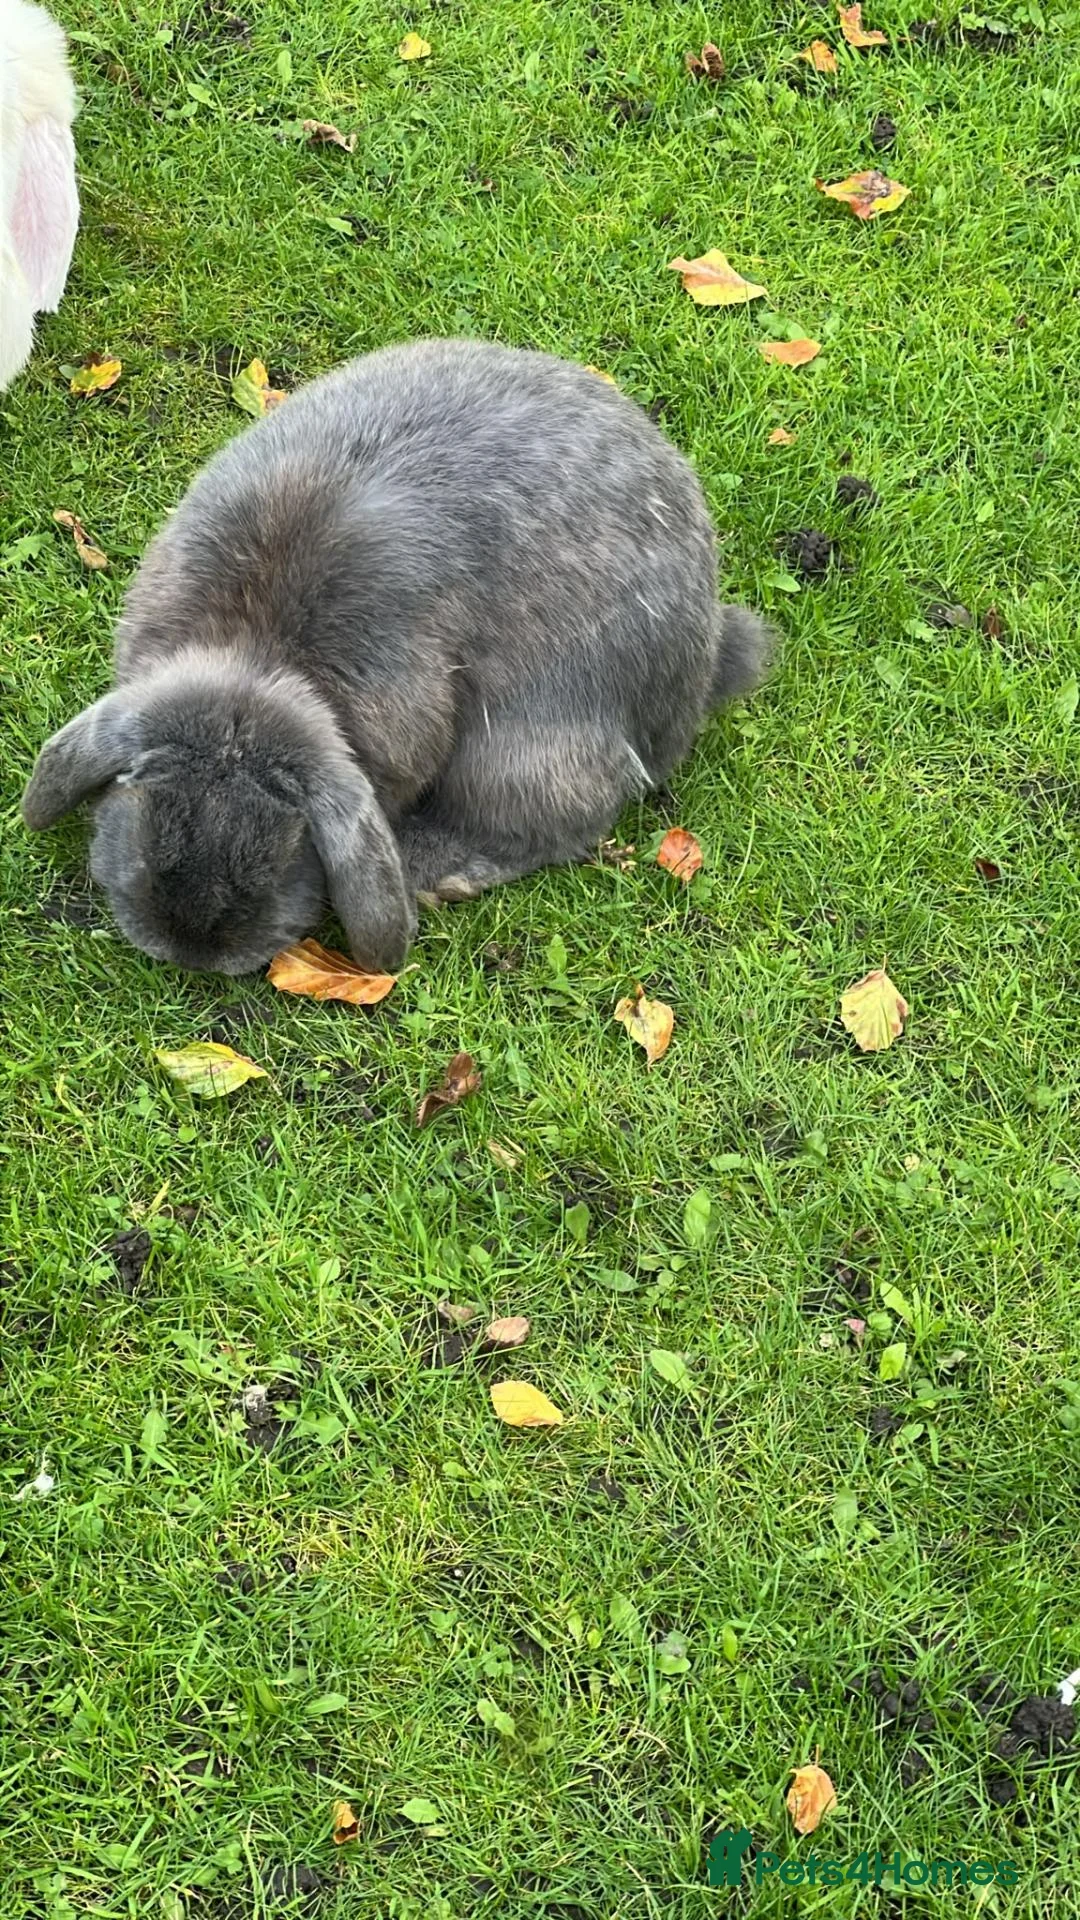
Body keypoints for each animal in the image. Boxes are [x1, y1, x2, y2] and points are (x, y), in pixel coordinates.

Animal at [21, 337, 771, 976]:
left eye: (286, 848)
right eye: (141, 803)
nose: (192, 948)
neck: (258, 660)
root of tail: (703, 664)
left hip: (526, 751)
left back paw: (437, 873)